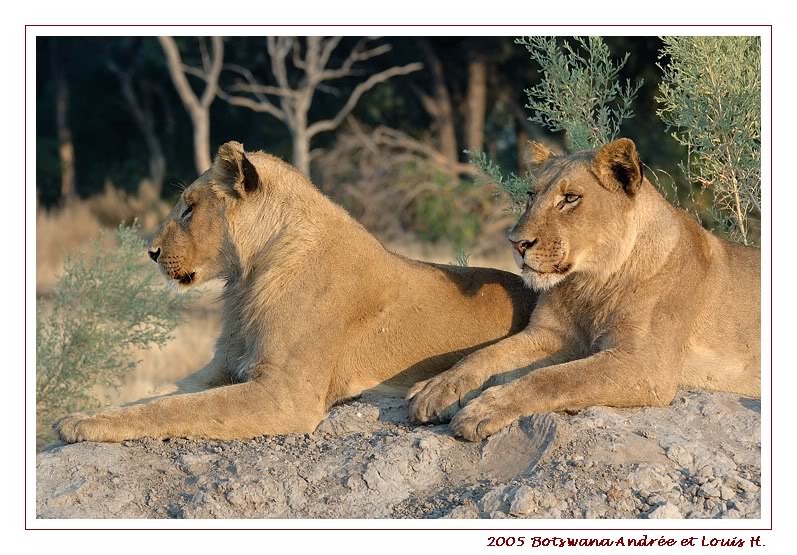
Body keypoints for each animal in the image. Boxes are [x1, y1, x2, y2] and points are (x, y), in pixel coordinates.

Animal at [56, 142, 536, 444]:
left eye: (189, 208)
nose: (151, 252)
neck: (247, 278)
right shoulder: (221, 369)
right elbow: (153, 399)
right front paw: (83, 415)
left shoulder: (287, 394)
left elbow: (170, 410)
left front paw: (77, 424)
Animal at [408, 137, 760, 440]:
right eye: (531, 195)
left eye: (570, 199)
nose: (517, 243)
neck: (591, 282)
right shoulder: (549, 335)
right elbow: (484, 354)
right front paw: (436, 389)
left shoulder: (647, 364)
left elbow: (553, 378)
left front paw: (483, 409)